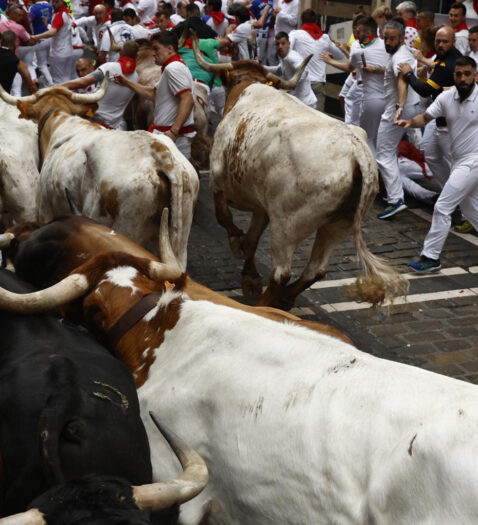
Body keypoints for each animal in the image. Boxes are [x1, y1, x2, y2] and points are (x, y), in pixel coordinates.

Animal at [190, 33, 408, 308]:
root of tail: (355, 149)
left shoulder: (218, 182)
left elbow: (225, 219)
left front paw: (236, 243)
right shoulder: (262, 207)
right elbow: (251, 240)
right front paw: (250, 278)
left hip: (287, 226)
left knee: (281, 273)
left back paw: (266, 307)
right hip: (338, 224)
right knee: (316, 270)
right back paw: (285, 299)